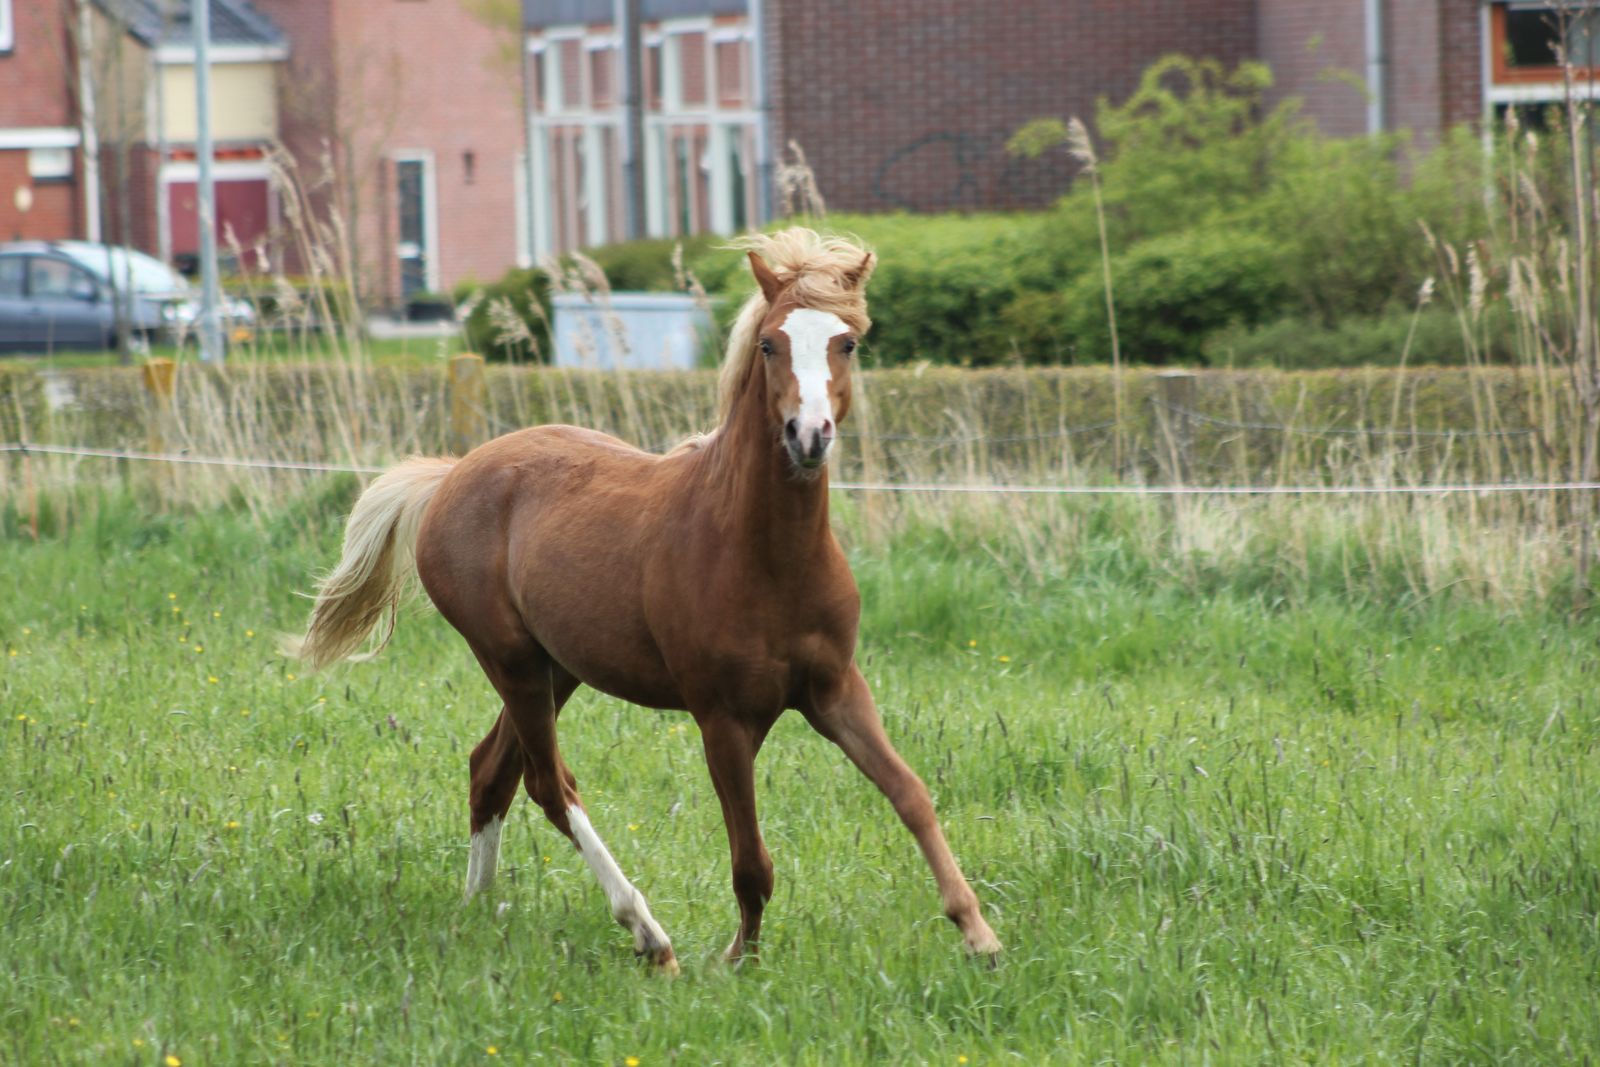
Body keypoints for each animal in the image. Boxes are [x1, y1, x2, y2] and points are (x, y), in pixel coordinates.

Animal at [288, 228, 1001, 972]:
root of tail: (453, 474)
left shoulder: (835, 691)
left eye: (848, 342)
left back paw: (479, 911)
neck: (766, 557)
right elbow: (752, 860)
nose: (809, 436)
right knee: (548, 784)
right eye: (769, 344)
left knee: (491, 769)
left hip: (556, 668)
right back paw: (648, 935)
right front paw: (738, 960)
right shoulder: (723, 718)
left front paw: (978, 933)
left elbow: (910, 793)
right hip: (510, 660)